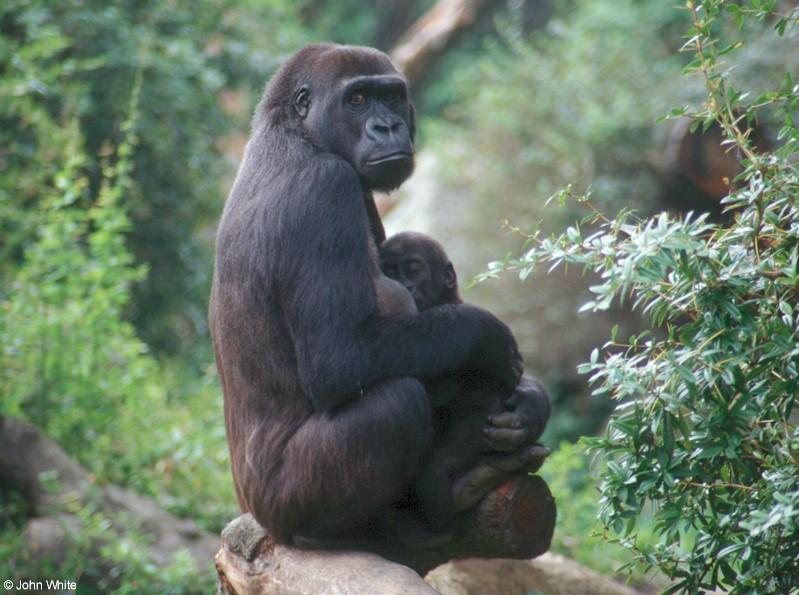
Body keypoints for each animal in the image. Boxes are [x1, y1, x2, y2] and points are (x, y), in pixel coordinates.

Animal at [209, 44, 528, 548]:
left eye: (392, 97)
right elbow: (340, 358)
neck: (295, 133)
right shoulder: (325, 188)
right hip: (280, 507)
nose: (387, 127)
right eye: (357, 100)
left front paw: (529, 405)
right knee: (397, 401)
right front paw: (487, 340)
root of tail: (254, 515)